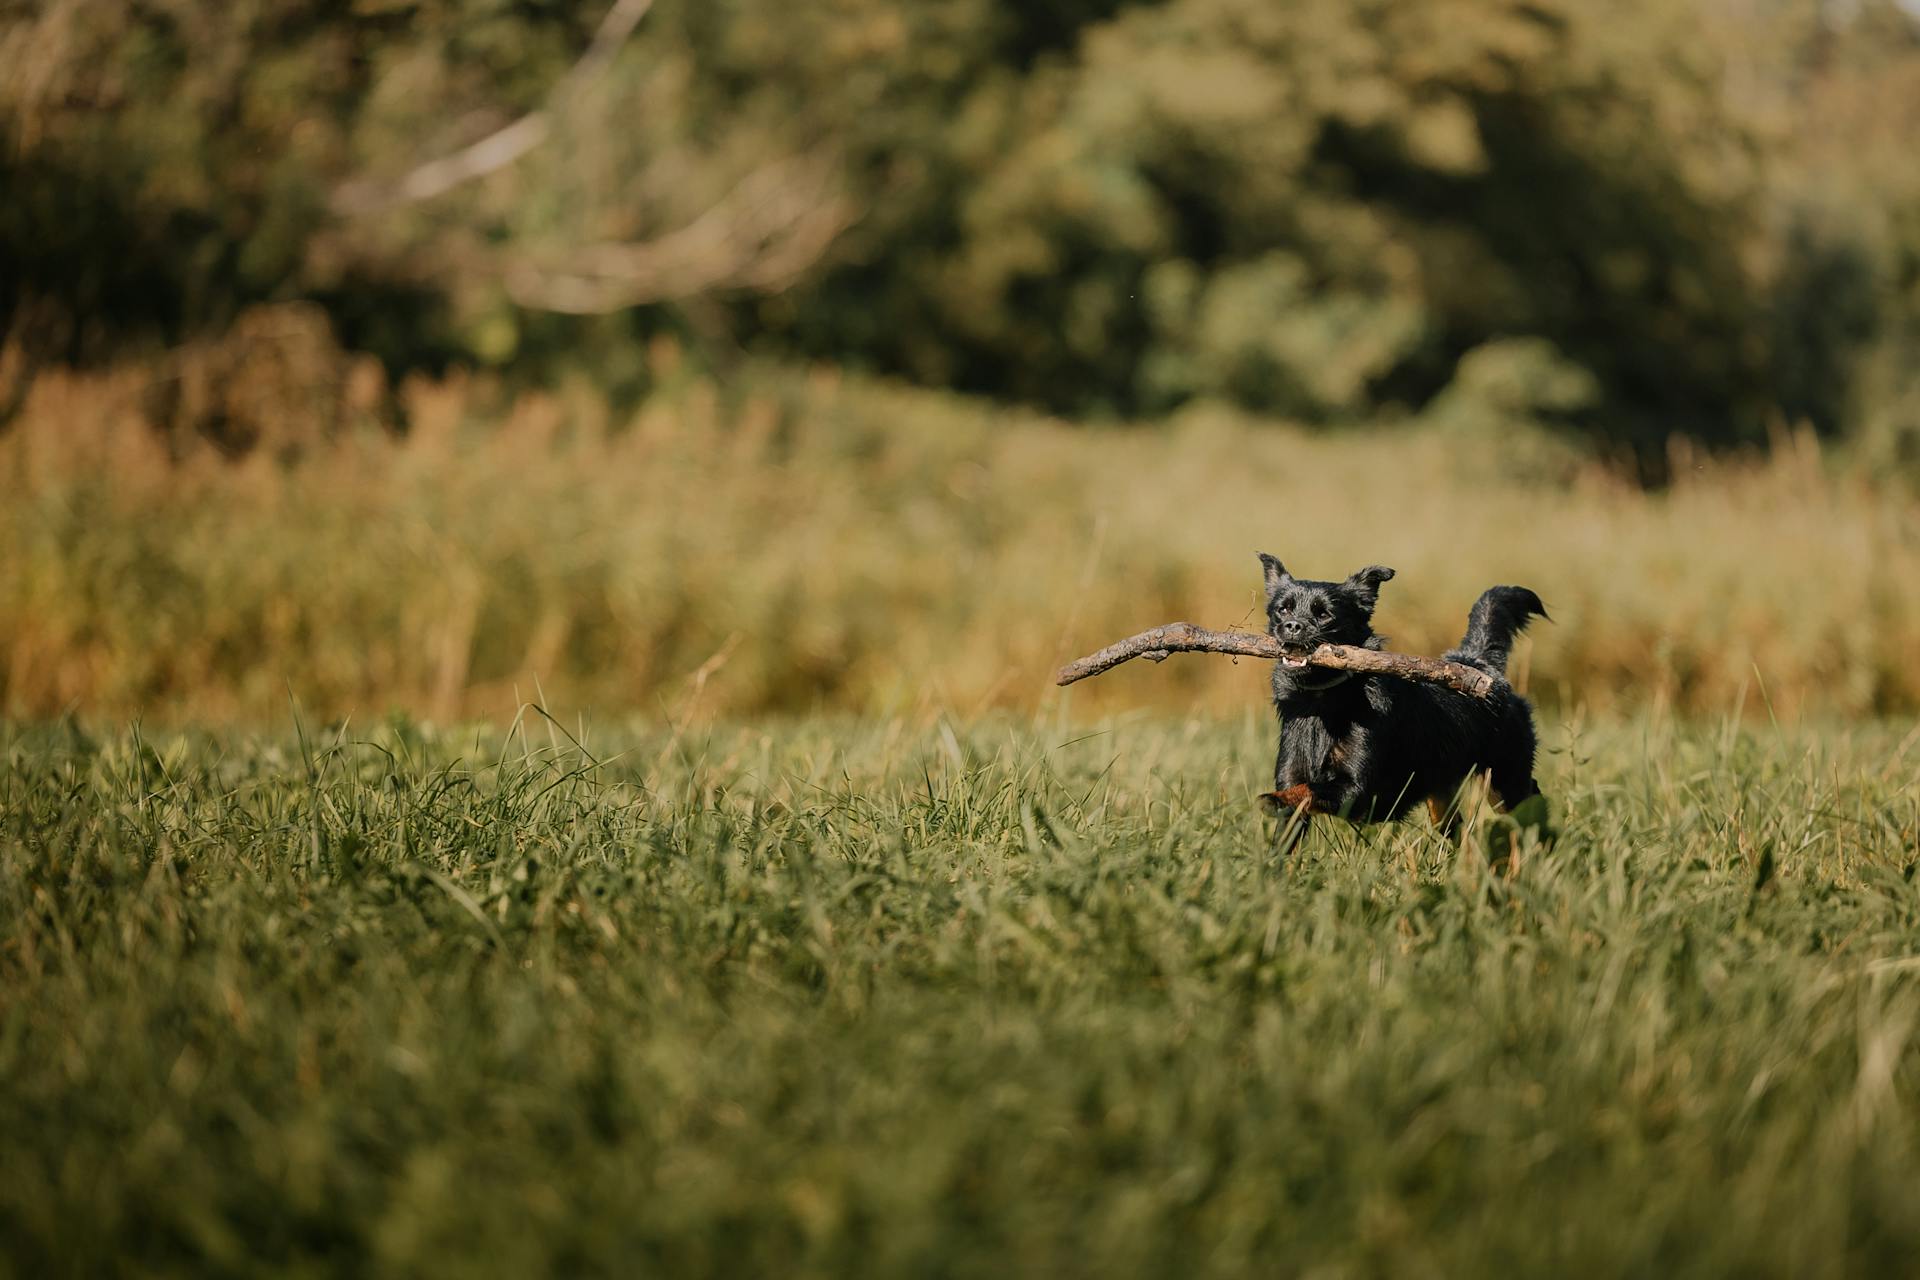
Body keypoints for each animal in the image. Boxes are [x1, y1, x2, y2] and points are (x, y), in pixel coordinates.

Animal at [1259, 556, 1543, 855]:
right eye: (1282, 610)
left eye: (1324, 614)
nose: (1292, 625)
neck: (1322, 702)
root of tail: (1480, 664)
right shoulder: (1293, 780)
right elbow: (1289, 830)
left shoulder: (1356, 792)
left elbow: (1308, 790)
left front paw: (1274, 799)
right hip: (1440, 795)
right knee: (1458, 828)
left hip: (1504, 782)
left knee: (1528, 805)